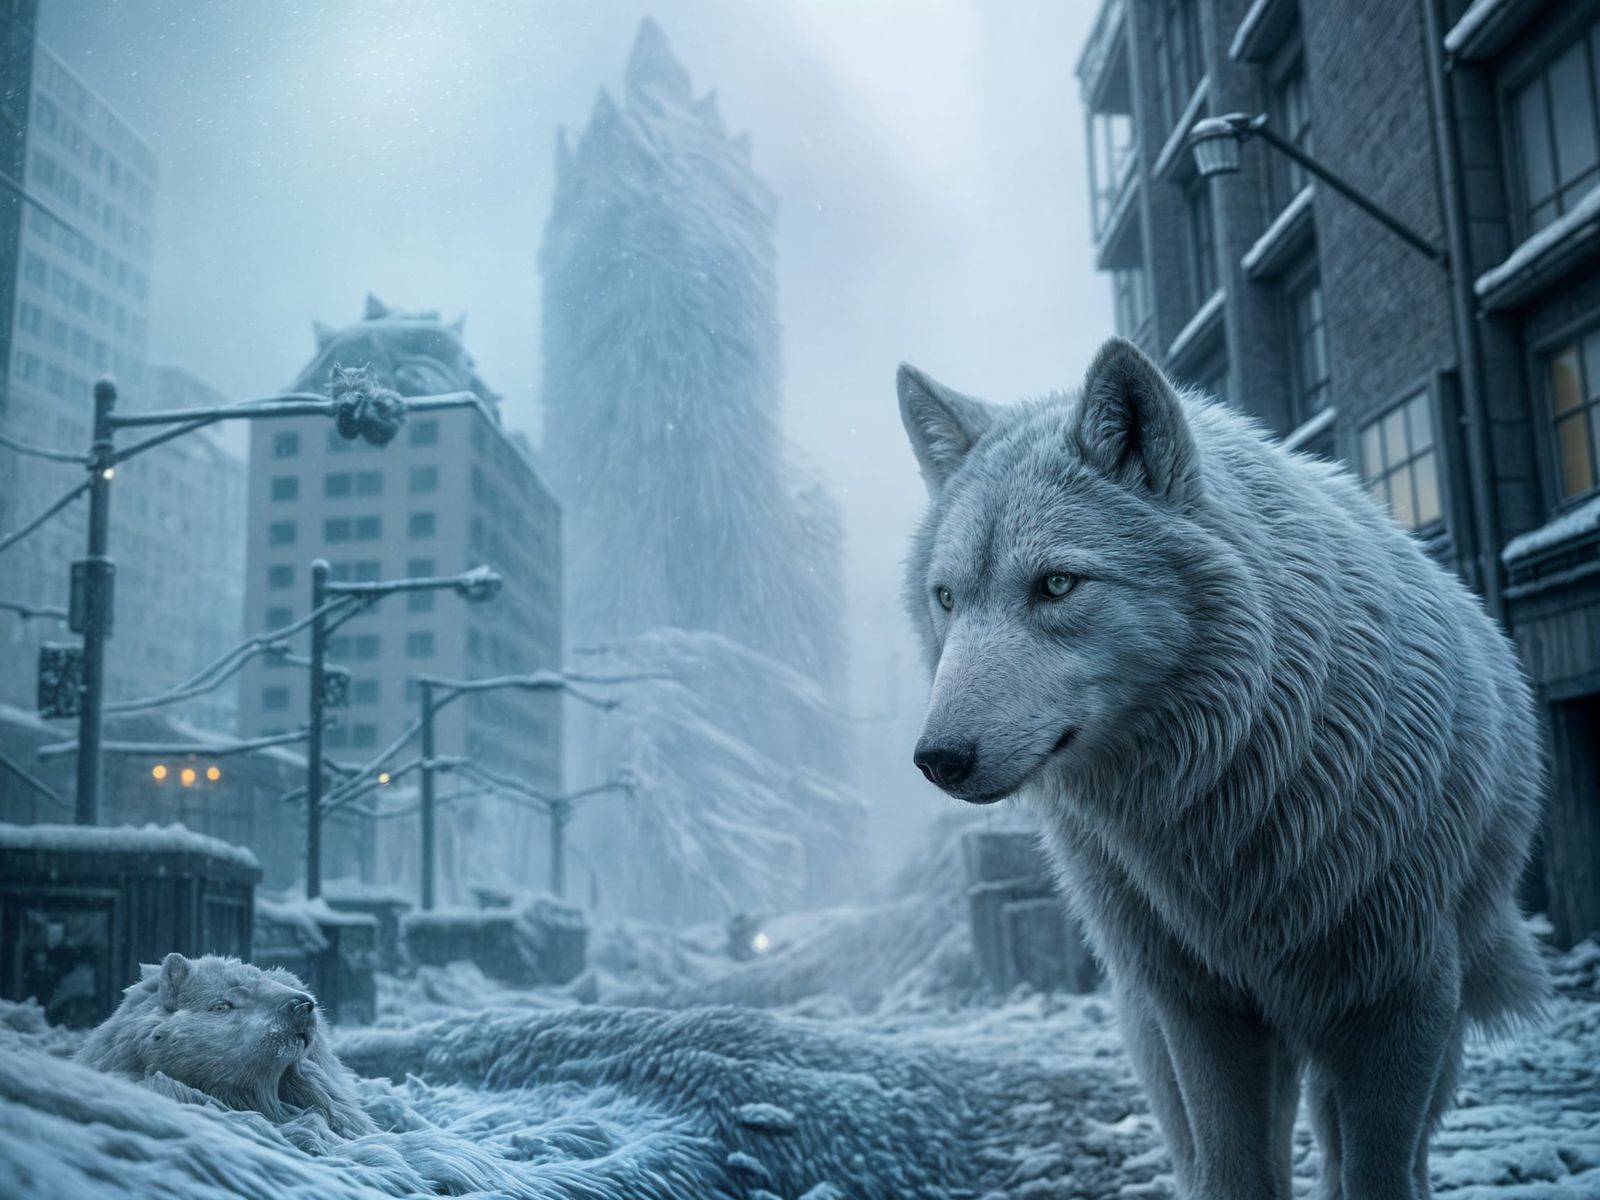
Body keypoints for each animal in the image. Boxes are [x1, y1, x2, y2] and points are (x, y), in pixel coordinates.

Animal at [897, 338, 1548, 1200]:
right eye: (946, 598)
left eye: (1057, 584)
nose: (937, 760)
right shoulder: (1204, 1012)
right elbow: (1235, 1171)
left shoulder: (1399, 1000)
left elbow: (1376, 1172)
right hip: (1157, 1028)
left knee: (1367, 1155)